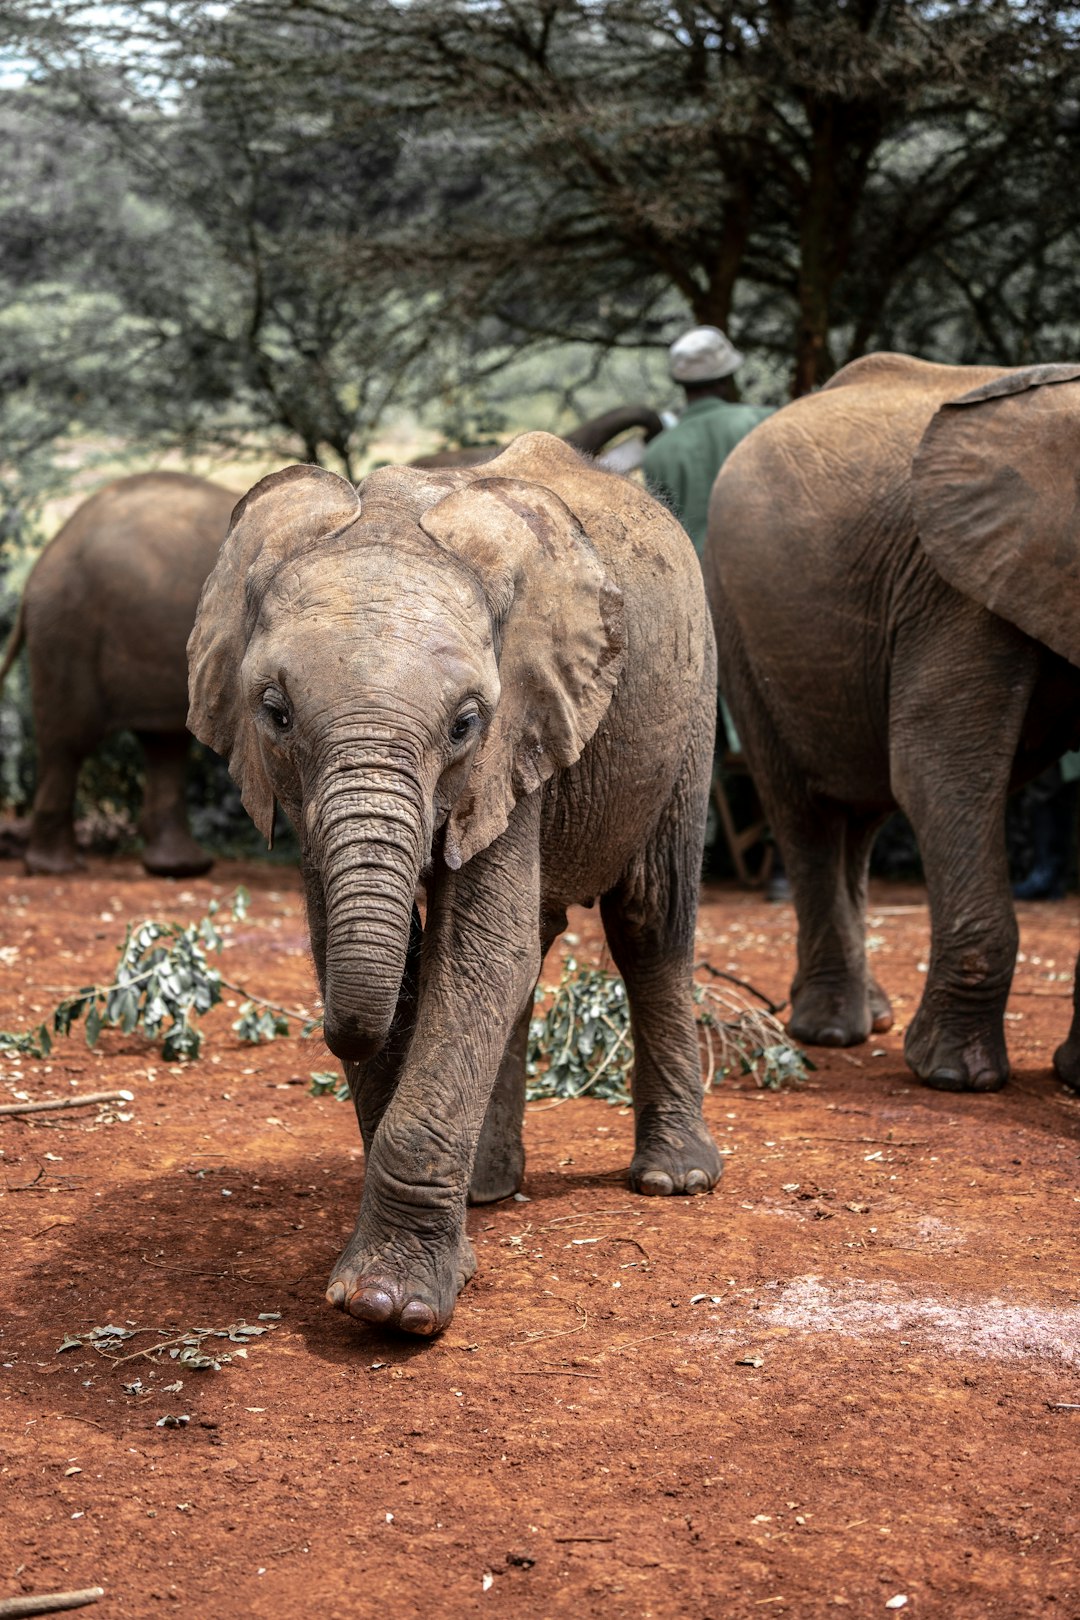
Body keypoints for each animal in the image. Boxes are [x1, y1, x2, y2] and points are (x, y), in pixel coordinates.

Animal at [189, 427, 722, 1328]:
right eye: (275, 712)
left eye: (467, 722)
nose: (341, 1033)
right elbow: (387, 955)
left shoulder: (523, 730)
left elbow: (476, 959)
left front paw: (390, 1306)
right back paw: (487, 1192)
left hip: (690, 703)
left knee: (649, 922)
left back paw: (674, 1179)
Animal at [702, 349, 1080, 1095]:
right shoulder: (958, 588)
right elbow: (942, 771)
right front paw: (955, 1080)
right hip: (738, 617)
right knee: (807, 810)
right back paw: (831, 1031)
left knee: (860, 812)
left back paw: (869, 1018)